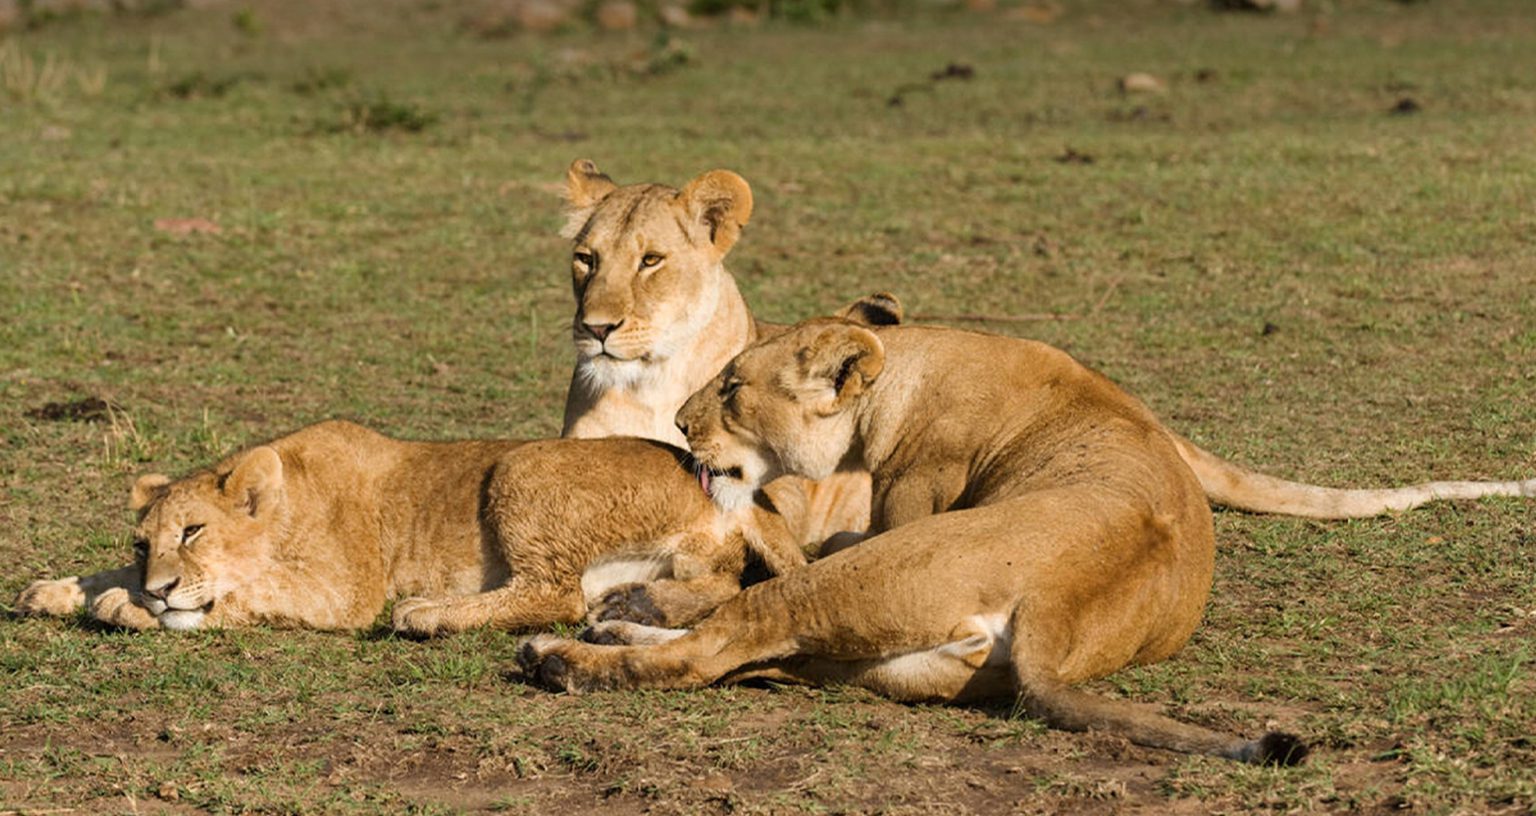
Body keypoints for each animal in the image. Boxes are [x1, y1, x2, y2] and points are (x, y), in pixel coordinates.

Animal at [14, 420, 803, 633]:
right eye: (143, 541)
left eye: (193, 533)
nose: (158, 585)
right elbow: (100, 574)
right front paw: (55, 590)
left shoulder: (347, 591)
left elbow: (239, 596)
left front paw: (126, 606)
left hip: (518, 466)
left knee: (553, 595)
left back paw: (427, 613)